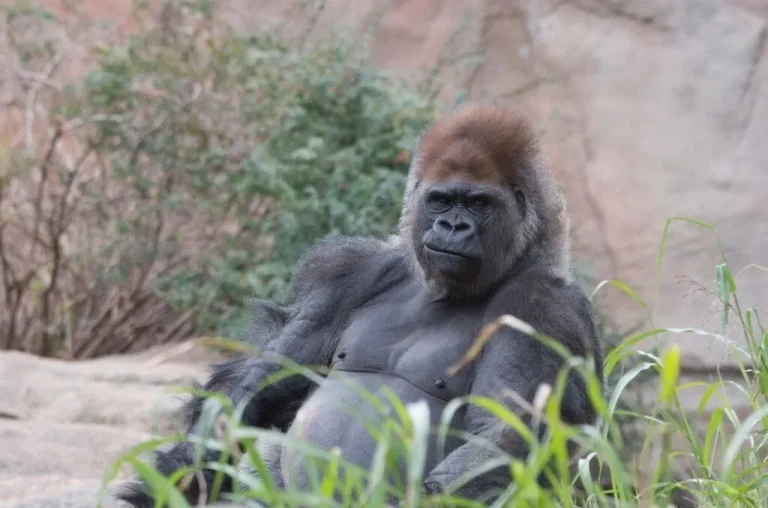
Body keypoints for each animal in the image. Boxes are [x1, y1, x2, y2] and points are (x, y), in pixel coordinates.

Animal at [117, 103, 604, 506]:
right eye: (442, 200)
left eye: (478, 204)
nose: (452, 226)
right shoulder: (353, 270)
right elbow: (263, 380)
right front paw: (184, 469)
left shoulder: (542, 307)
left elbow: (503, 440)